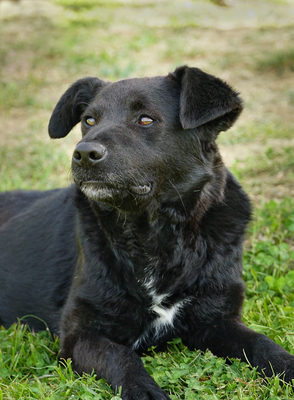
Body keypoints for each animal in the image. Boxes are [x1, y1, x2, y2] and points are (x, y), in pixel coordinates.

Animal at [0, 66, 294, 400]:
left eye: (145, 120)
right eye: (89, 120)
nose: (84, 153)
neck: (154, 235)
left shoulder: (217, 320)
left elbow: (263, 344)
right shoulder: (78, 332)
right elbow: (120, 355)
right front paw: (143, 389)